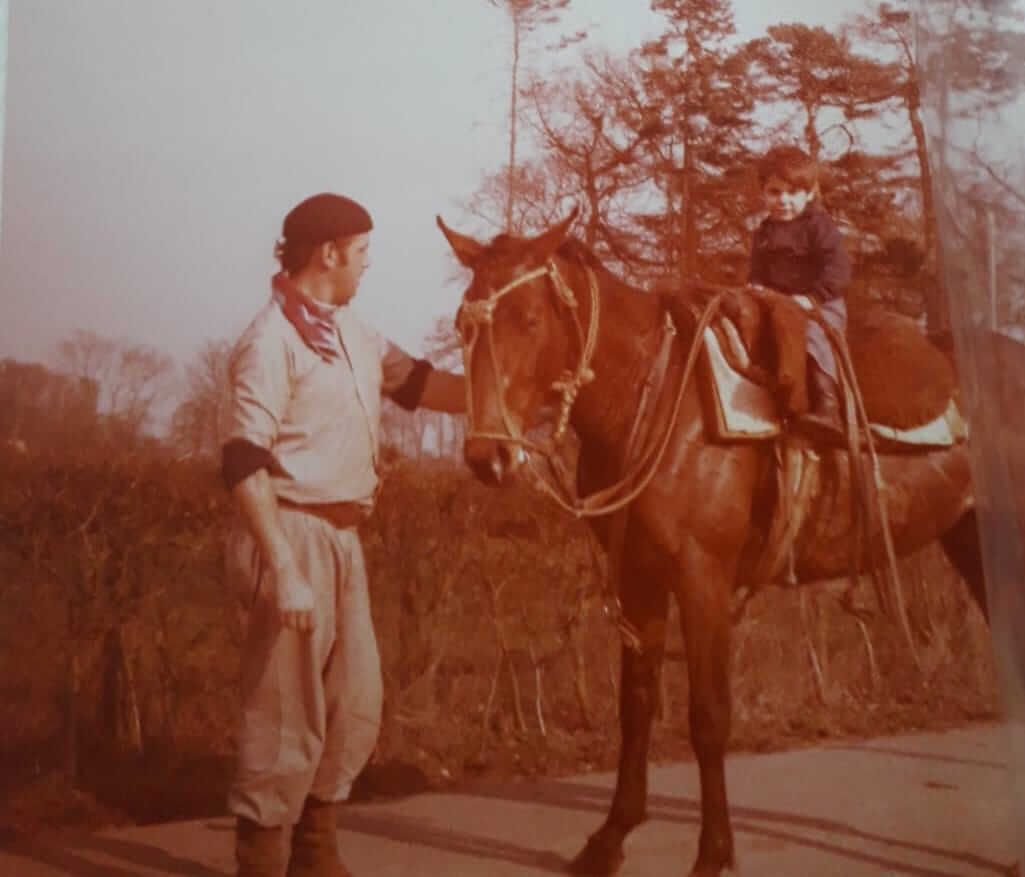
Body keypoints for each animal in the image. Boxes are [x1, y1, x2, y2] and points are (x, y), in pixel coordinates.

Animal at [436, 212, 988, 877]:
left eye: (530, 321)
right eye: (465, 323)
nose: (486, 456)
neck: (651, 400)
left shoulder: (703, 579)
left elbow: (707, 717)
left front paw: (713, 852)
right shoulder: (639, 581)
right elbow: (636, 707)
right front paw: (611, 837)